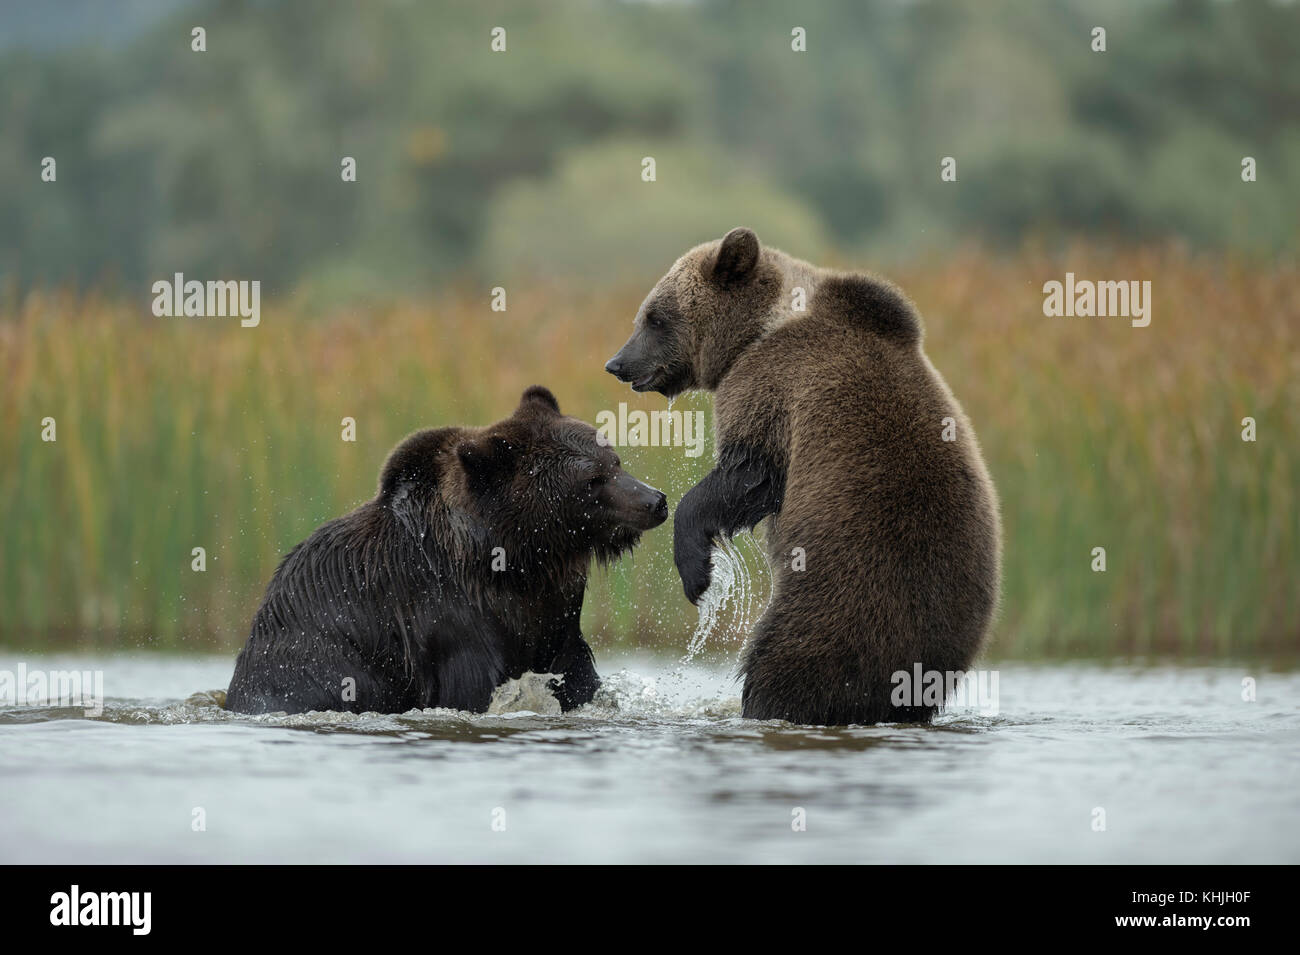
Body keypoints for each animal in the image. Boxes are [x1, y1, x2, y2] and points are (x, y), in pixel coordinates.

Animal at [223, 384, 665, 712]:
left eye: (615, 461)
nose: (654, 500)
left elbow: (576, 677)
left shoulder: (556, 618)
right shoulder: (447, 619)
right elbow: (471, 687)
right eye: (591, 481)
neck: (518, 560)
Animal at [603, 229, 998, 722]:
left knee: (790, 659)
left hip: (840, 598)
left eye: (655, 318)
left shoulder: (770, 384)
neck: (755, 332)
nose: (617, 363)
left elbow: (749, 474)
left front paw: (696, 572)